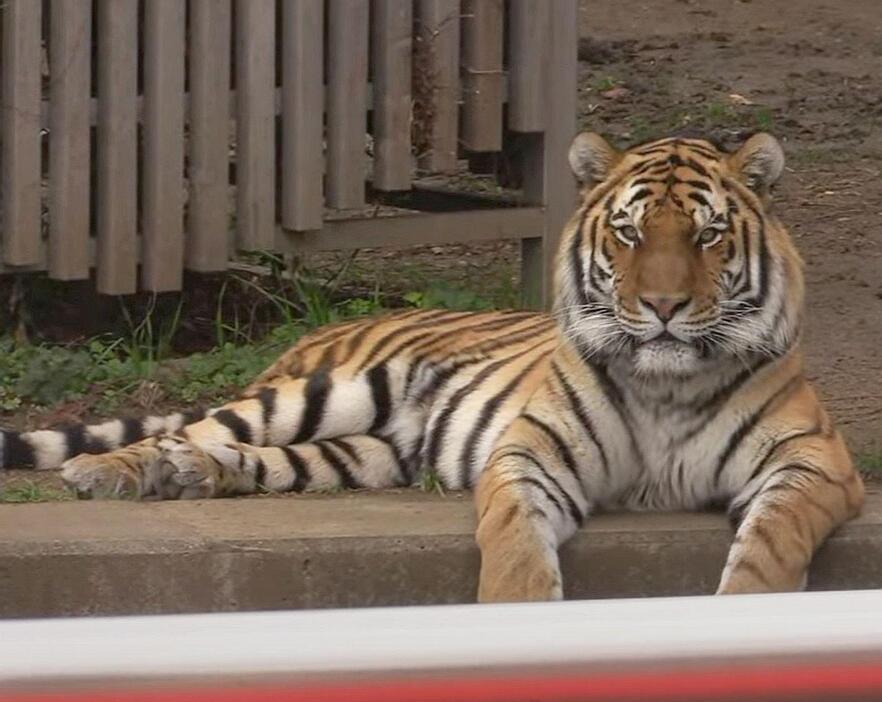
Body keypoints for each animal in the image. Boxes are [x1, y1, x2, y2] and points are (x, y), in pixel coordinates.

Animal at [0, 132, 860, 604]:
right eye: (629, 233)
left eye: (709, 235)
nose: (664, 306)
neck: (666, 383)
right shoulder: (530, 454)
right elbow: (514, 544)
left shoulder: (813, 461)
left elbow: (771, 544)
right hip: (331, 391)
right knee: (202, 427)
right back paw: (112, 472)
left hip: (363, 454)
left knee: (256, 458)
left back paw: (192, 476)